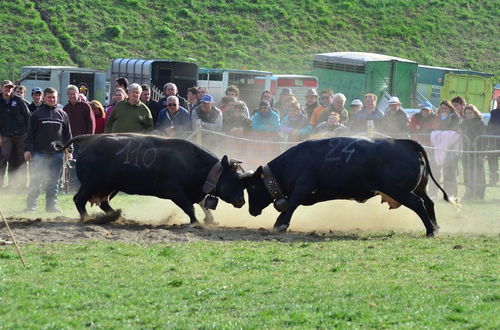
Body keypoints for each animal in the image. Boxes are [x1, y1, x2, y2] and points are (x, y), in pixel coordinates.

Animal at [53, 133, 246, 223]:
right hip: (91, 184)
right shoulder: (174, 192)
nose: (242, 201)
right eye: (235, 180)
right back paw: (87, 218)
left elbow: (201, 203)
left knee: (103, 202)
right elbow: (189, 208)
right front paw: (196, 222)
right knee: (79, 199)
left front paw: (209, 219)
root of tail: (90, 139)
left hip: (109, 186)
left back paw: (118, 216)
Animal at [242, 137, 454, 237]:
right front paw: (278, 222)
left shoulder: (303, 186)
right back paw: (436, 227)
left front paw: (281, 224)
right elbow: (290, 205)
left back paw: (430, 231)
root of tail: (406, 144)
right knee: (429, 203)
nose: (251, 210)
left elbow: (292, 204)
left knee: (418, 204)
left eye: (252, 187)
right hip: (418, 188)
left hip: (400, 191)